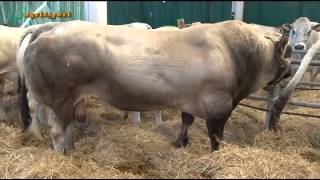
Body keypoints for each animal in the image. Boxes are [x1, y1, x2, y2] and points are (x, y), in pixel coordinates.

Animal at [18, 20, 292, 152]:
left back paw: (71, 148)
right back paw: (62, 154)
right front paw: (216, 154)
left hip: (71, 101)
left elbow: (186, 121)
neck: (235, 54)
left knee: (68, 127)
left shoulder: (191, 99)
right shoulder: (219, 106)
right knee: (57, 131)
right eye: (282, 55)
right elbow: (216, 137)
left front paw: (180, 143)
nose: (289, 69)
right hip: (58, 100)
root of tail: (49, 28)